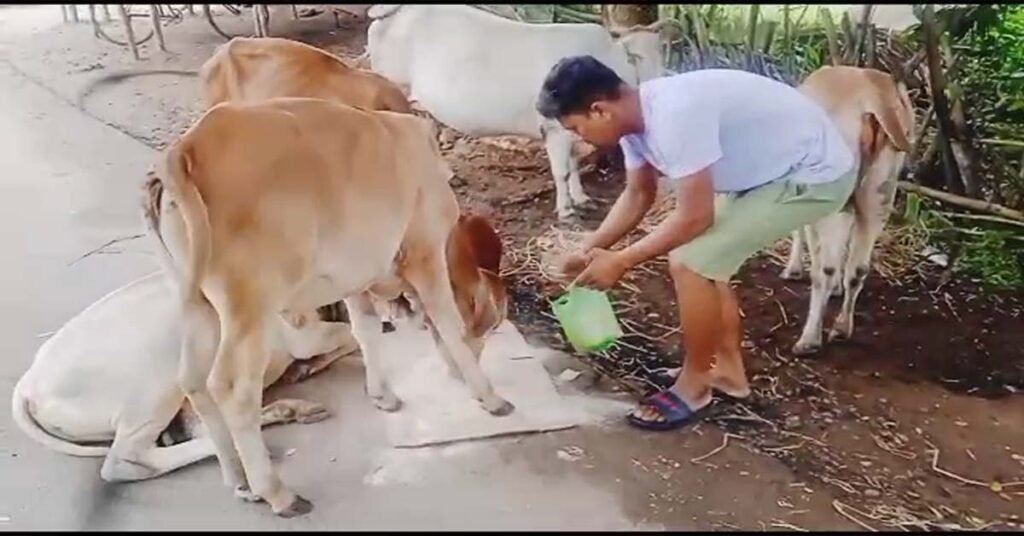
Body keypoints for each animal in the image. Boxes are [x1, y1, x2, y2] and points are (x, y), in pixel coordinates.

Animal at [11, 271, 358, 483]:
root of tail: (29, 384)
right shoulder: (303, 334)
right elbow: (348, 334)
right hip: (159, 379)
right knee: (125, 461)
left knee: (201, 425)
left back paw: (291, 410)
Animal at [142, 97, 512, 516]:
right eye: (493, 325)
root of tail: (185, 149)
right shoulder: (425, 254)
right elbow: (449, 325)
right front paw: (491, 397)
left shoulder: (355, 277)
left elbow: (366, 330)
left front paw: (382, 395)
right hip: (250, 305)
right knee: (233, 388)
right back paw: (278, 493)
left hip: (197, 303)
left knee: (191, 380)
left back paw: (239, 479)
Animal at [358, 4, 679, 220]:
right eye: (635, 57)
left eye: (662, 51)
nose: (658, 80)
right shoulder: (553, 126)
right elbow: (562, 170)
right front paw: (566, 211)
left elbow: (574, 164)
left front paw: (582, 198)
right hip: (393, 86)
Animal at [780, 66, 915, 355]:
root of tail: (873, 93)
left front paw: (793, 269)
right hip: (880, 192)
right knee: (859, 268)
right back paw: (841, 328)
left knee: (827, 268)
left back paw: (809, 339)